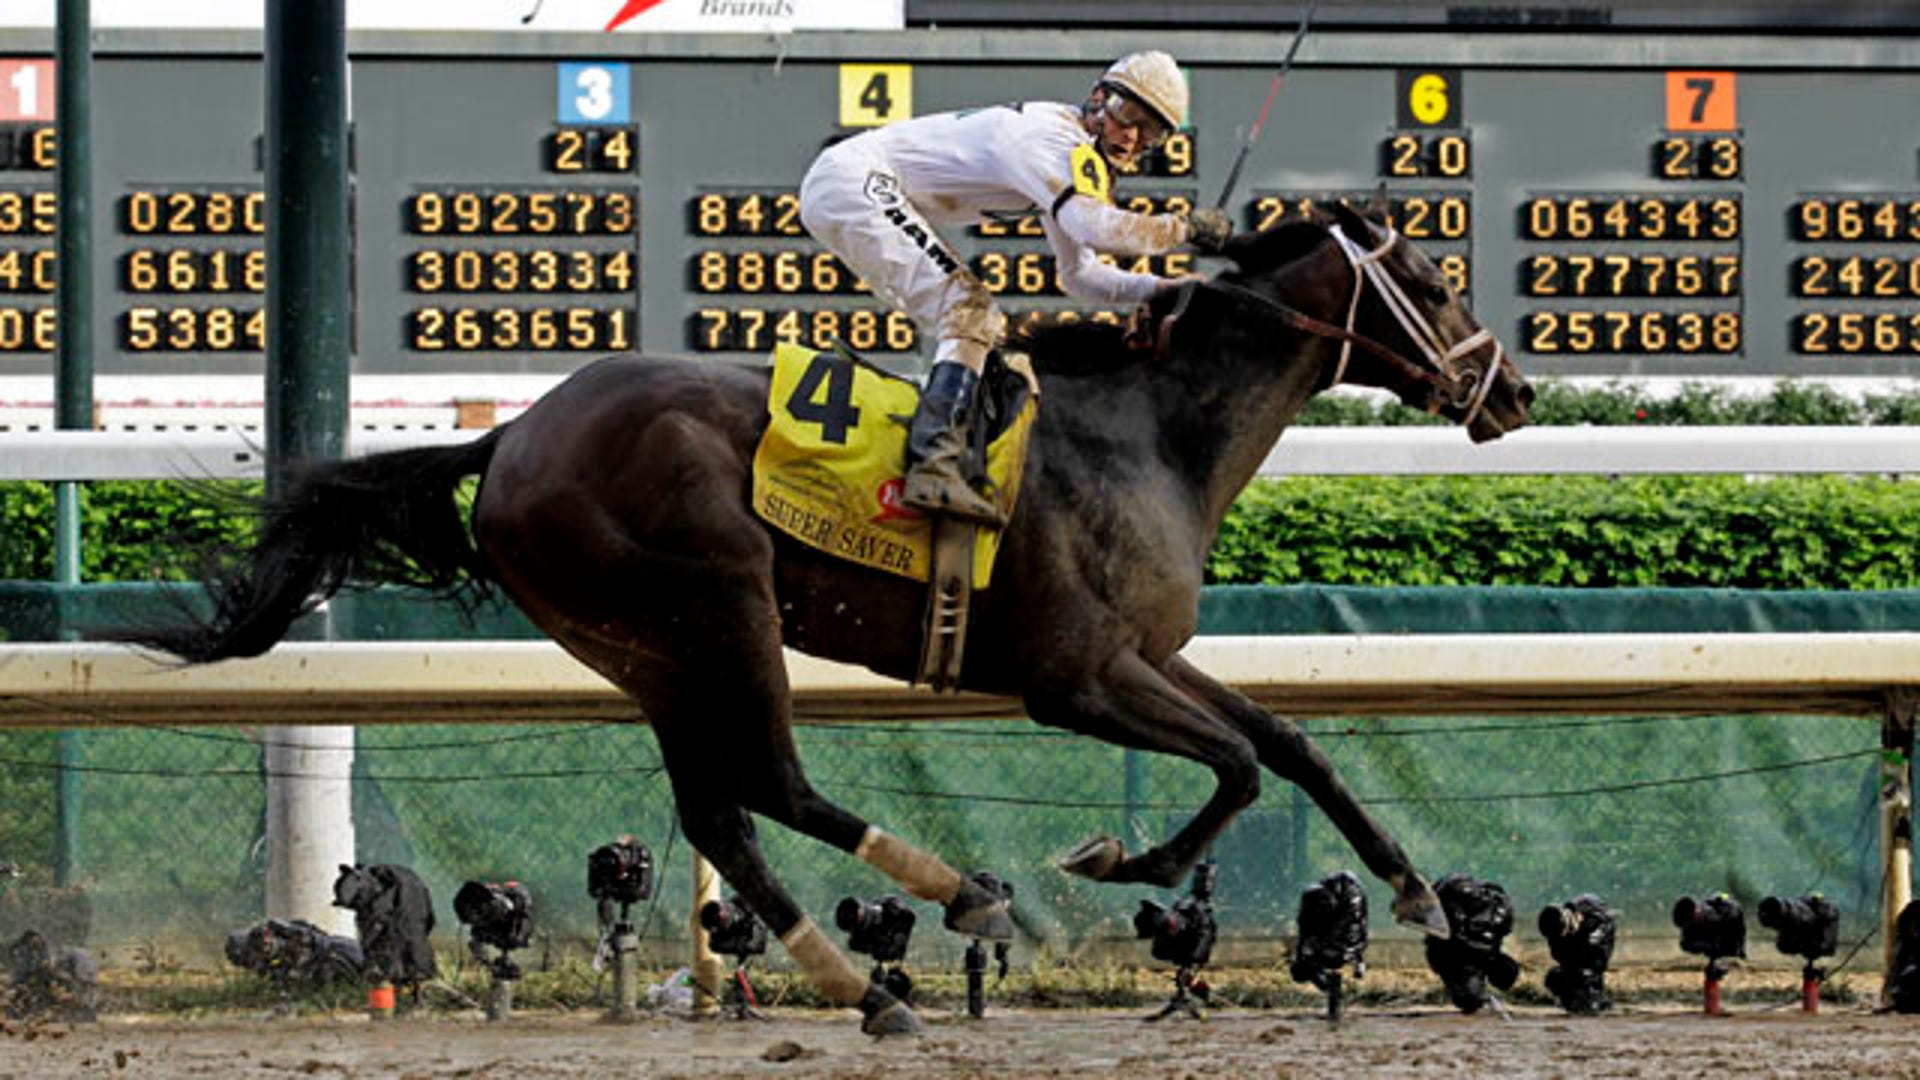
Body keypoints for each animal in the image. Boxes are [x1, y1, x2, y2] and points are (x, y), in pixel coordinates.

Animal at [118, 199, 1531, 1034]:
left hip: (641, 648)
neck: (1147, 432)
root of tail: (512, 434)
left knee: (724, 812)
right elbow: (1236, 764)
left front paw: (1428, 907)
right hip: (719, 601)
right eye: (1430, 277)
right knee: (774, 784)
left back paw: (861, 979)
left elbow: (1292, 743)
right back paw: (949, 901)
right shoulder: (1073, 676)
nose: (1511, 390)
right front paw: (1119, 864)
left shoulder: (1149, 652)